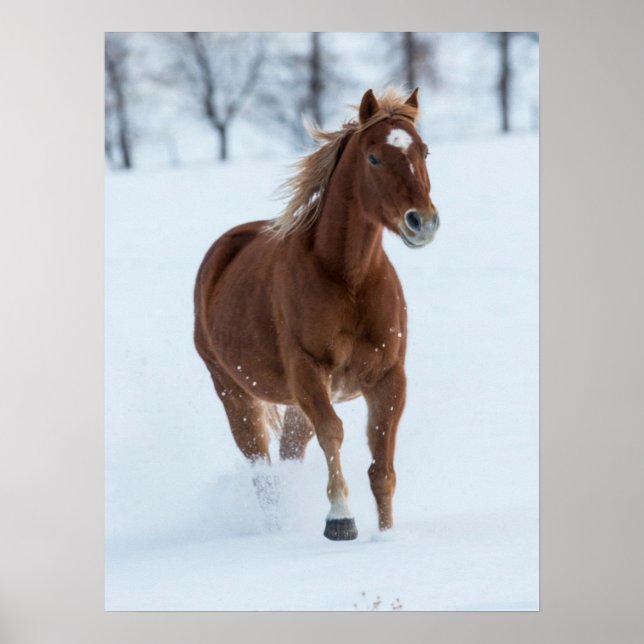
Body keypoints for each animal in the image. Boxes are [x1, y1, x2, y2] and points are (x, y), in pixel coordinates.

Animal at [194, 88, 439, 541]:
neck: (348, 277)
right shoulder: (309, 371)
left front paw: (387, 535)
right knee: (261, 469)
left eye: (424, 151)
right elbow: (334, 433)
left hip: (293, 404)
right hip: (235, 394)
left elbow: (382, 467)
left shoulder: (389, 377)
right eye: (374, 157)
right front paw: (340, 520)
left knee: (289, 454)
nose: (423, 222)